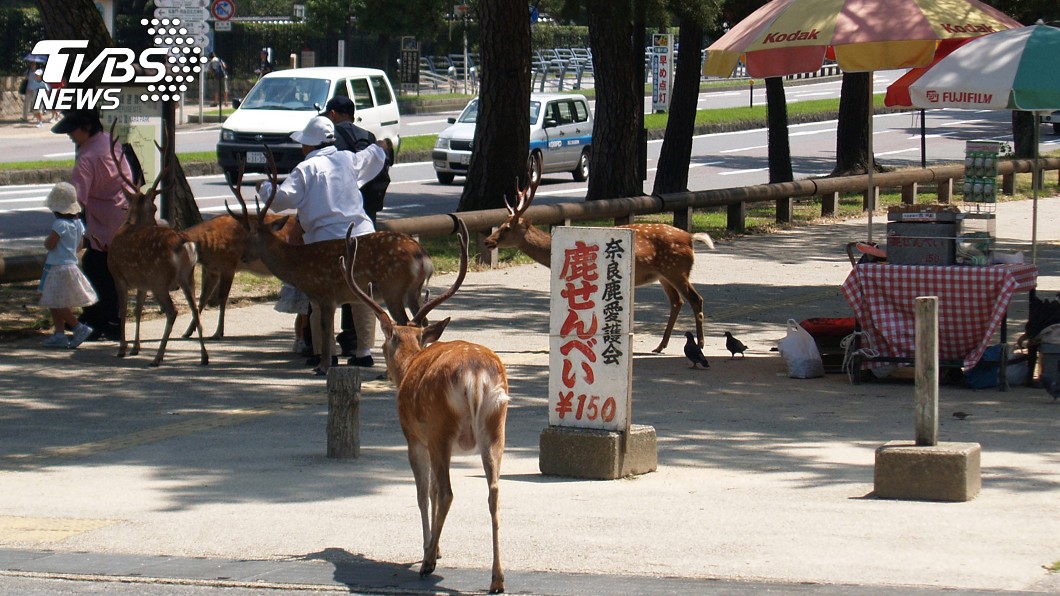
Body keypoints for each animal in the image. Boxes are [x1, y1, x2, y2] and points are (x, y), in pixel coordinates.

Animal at [103, 125, 209, 366]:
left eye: (154, 208)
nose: (156, 220)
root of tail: (183, 242)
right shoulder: (141, 283)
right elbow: (138, 310)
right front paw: (136, 347)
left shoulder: (119, 275)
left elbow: (123, 309)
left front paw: (123, 348)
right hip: (187, 277)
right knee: (196, 310)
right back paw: (204, 356)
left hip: (159, 278)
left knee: (173, 311)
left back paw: (158, 357)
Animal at [341, 218, 508, 594]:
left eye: (385, 343)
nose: (386, 370)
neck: (410, 364)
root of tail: (476, 375)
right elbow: (430, 490)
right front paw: (438, 546)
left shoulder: (413, 436)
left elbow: (423, 492)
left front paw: (431, 548)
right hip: (496, 426)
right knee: (493, 491)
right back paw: (497, 578)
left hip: (440, 426)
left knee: (445, 492)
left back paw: (427, 564)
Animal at [483, 178, 715, 353]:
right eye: (501, 225)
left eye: (507, 228)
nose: (487, 241)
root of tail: (691, 237)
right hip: (664, 275)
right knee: (677, 302)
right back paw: (660, 346)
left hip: (676, 269)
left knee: (696, 299)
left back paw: (701, 344)